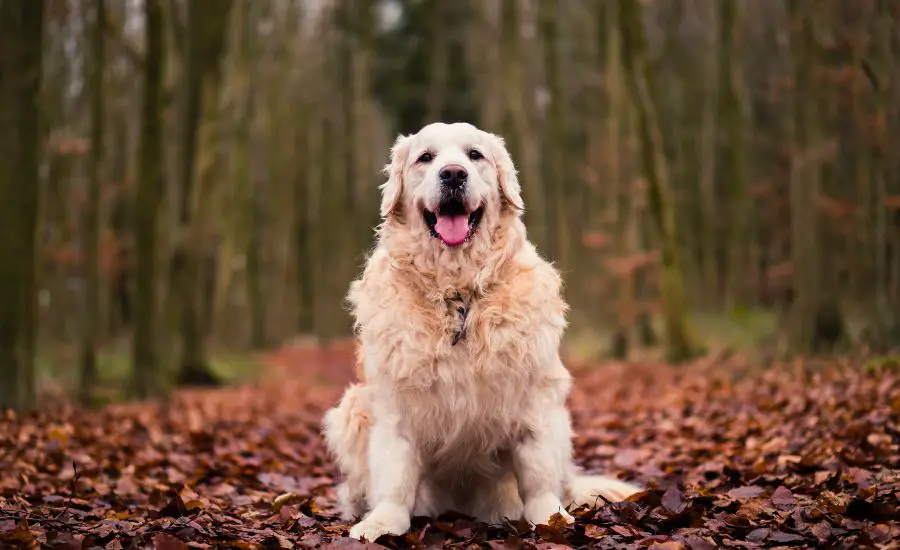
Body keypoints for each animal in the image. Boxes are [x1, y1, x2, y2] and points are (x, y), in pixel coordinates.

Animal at [322, 122, 640, 544]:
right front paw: (382, 522)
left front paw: (550, 519)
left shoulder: (537, 401)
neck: (458, 294)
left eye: (475, 155)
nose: (453, 174)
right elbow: (395, 475)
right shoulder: (394, 408)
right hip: (351, 408)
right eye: (425, 157)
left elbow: (537, 475)